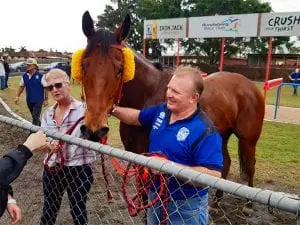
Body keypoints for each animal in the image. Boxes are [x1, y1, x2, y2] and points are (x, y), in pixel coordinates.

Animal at [78, 10, 264, 200]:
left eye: (120, 69)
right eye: (83, 66)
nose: (94, 129)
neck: (148, 94)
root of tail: (249, 85)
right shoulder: (136, 158)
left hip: (248, 140)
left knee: (251, 165)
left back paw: (248, 203)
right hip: (223, 134)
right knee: (226, 162)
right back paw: (217, 201)